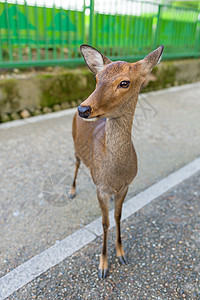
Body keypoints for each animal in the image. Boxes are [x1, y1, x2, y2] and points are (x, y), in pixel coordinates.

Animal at [69, 44, 163, 278]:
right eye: (97, 78)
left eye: (124, 82)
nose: (84, 109)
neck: (115, 173)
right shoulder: (100, 188)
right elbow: (105, 223)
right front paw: (103, 265)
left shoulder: (126, 185)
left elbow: (119, 216)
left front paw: (121, 254)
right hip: (74, 144)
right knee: (76, 164)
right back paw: (72, 191)